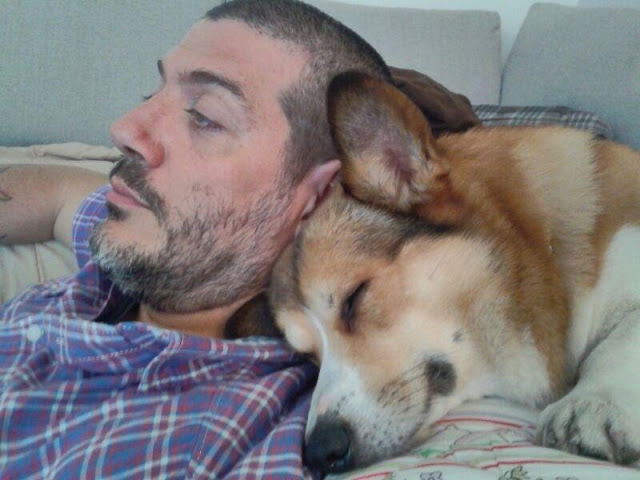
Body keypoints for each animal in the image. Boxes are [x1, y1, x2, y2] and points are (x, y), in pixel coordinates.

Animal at [269, 71, 640, 474]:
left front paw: (593, 402)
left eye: (355, 298)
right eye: (308, 356)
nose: (321, 452)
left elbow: (619, 341)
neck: (543, 251)